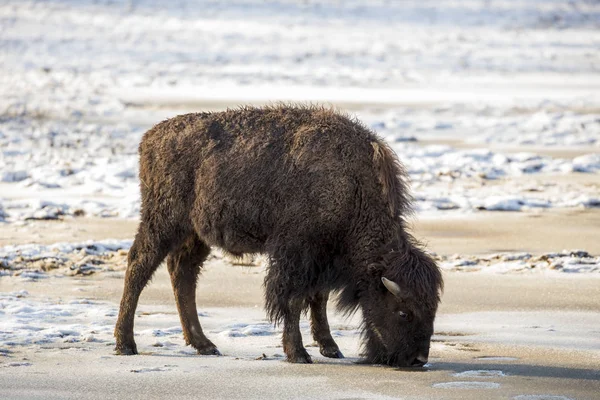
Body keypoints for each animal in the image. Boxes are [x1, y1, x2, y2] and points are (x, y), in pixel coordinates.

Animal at [115, 104, 442, 368]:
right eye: (403, 312)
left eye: (433, 310)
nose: (418, 360)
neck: (352, 187)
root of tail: (151, 137)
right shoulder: (297, 254)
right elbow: (293, 300)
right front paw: (298, 353)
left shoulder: (323, 260)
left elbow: (318, 299)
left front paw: (330, 347)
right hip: (163, 222)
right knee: (140, 267)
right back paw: (125, 344)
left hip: (195, 234)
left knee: (182, 274)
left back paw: (204, 345)